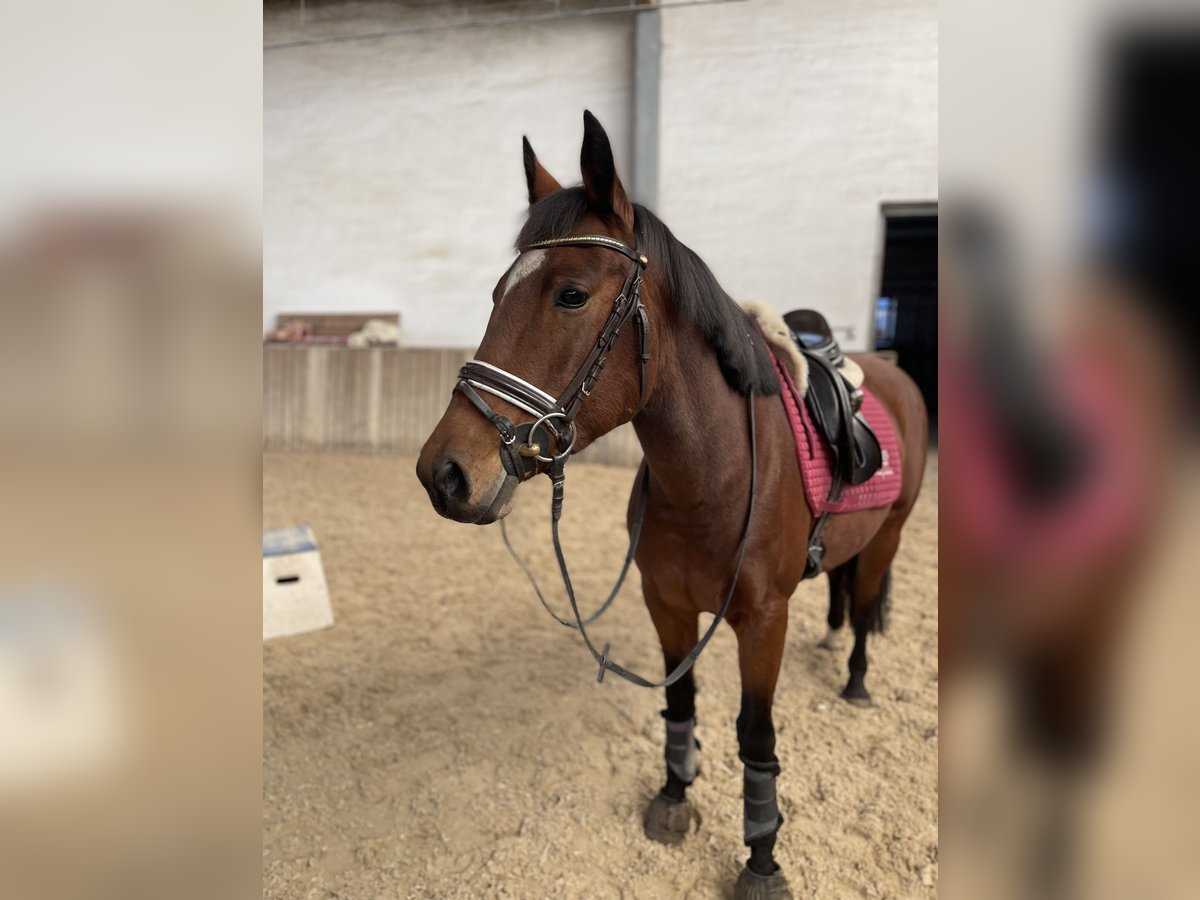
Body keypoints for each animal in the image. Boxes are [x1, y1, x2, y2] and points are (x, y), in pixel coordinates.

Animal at [417, 112, 931, 900]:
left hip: (891, 536)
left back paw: (855, 679)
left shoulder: (764, 621)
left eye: (571, 295)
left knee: (869, 597)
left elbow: (756, 734)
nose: (443, 473)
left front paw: (761, 858)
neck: (712, 481)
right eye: (498, 293)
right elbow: (681, 704)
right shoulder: (667, 603)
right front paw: (672, 797)